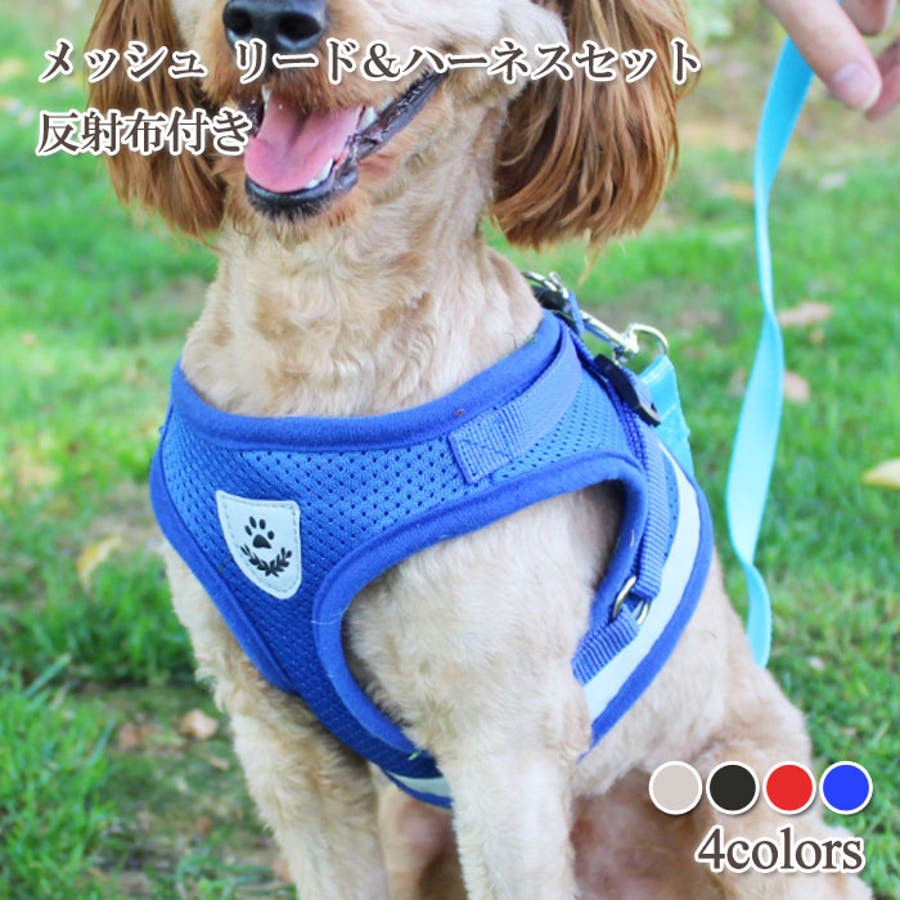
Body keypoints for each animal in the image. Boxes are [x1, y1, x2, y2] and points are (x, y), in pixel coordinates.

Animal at [87, 0, 871, 896]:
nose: (268, 19)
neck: (323, 334)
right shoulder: (276, 732)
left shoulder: (504, 746)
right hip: (411, 829)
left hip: (751, 817)